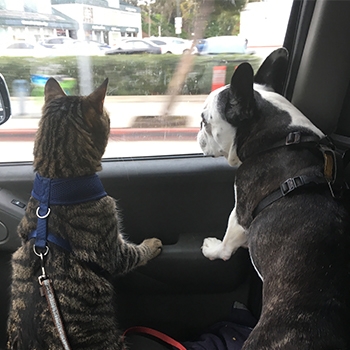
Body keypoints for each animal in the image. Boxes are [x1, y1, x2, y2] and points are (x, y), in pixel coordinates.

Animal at [6, 78, 163, 348]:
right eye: (107, 116)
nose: (111, 119)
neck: (55, 180)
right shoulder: (113, 252)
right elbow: (135, 253)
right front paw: (152, 244)